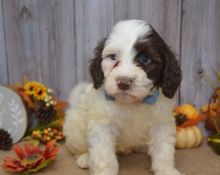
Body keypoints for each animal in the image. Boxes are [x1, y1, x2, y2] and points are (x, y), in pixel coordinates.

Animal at [63, 19, 182, 175]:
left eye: (144, 59)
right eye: (113, 57)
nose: (123, 82)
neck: (132, 103)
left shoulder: (161, 122)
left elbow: (163, 150)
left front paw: (166, 170)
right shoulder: (102, 125)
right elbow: (104, 156)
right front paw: (104, 172)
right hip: (75, 128)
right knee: (77, 148)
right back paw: (84, 158)